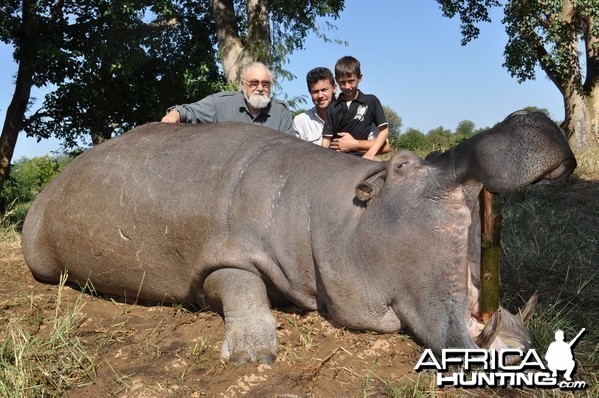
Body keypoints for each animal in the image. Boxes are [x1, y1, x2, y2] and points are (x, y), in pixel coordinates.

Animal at [22, 109, 576, 364]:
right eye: (402, 164)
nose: (528, 114)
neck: (334, 215)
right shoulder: (222, 258)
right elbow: (239, 284)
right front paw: (254, 355)